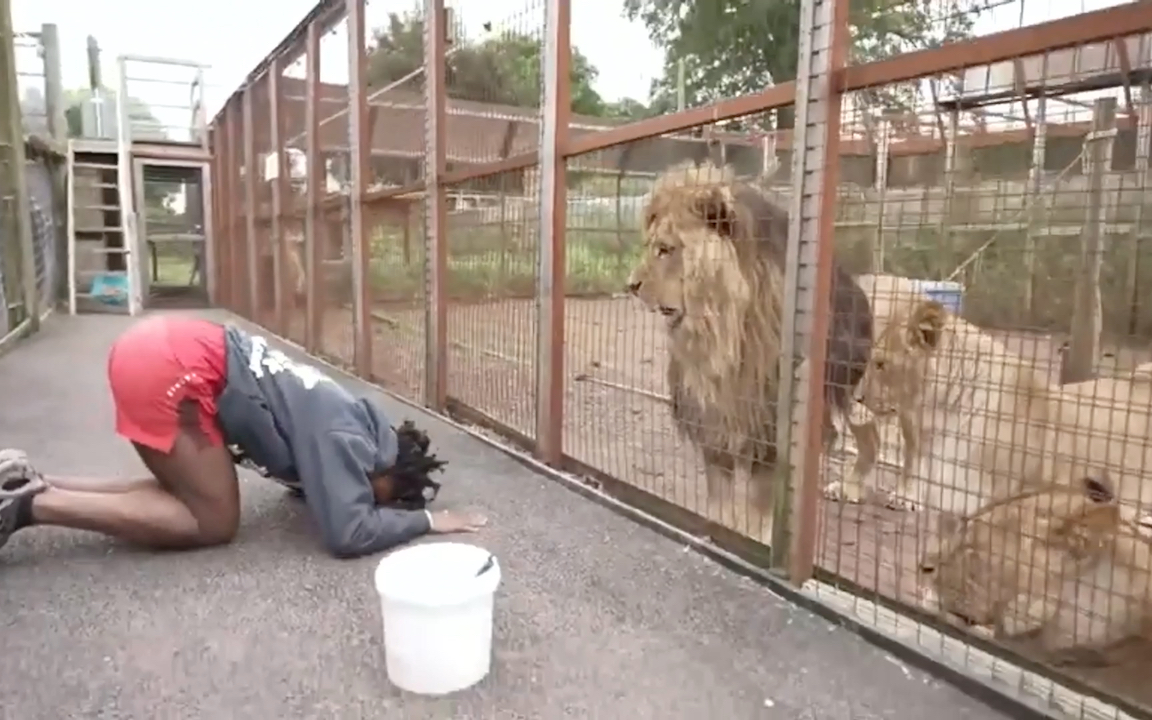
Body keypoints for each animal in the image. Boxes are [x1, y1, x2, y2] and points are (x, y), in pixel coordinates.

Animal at [631, 160, 870, 541]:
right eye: (649, 246)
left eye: (666, 249)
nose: (631, 285)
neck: (719, 339)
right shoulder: (714, 427)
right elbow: (720, 502)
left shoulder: (768, 434)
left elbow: (760, 509)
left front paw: (757, 537)